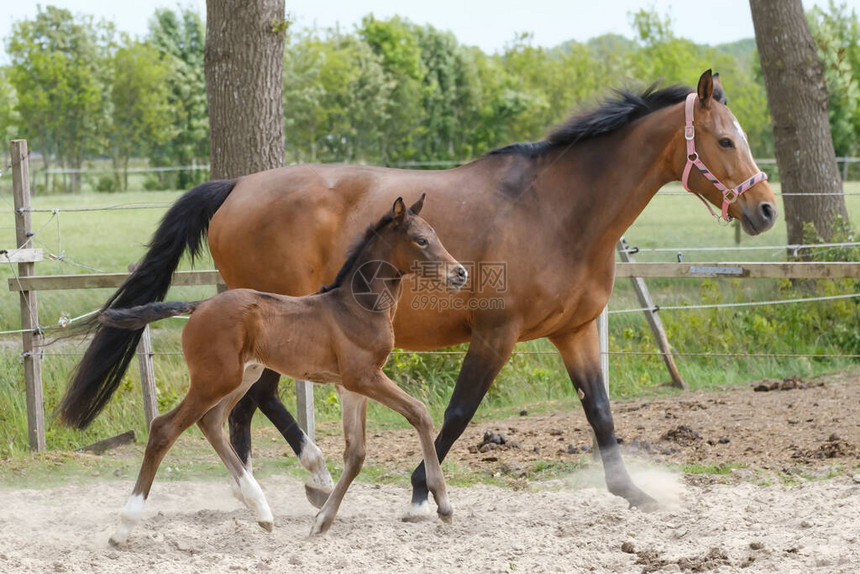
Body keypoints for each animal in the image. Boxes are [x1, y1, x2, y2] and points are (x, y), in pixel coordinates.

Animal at [101, 197, 466, 544]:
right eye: (421, 240)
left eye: (436, 235)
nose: (460, 273)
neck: (358, 307)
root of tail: (200, 305)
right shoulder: (364, 376)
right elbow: (419, 413)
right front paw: (443, 504)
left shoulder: (351, 387)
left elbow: (356, 453)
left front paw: (322, 521)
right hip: (214, 380)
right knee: (165, 428)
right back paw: (123, 527)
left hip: (241, 377)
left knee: (212, 422)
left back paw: (262, 510)